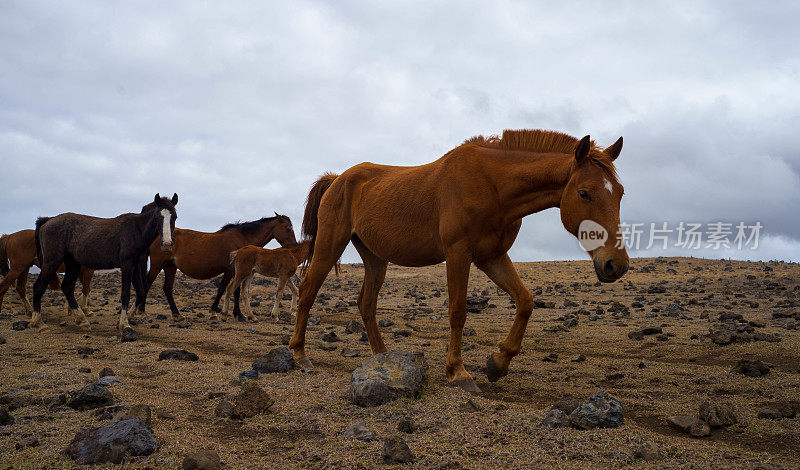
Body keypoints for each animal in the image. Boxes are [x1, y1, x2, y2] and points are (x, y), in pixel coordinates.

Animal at [31, 193, 178, 332]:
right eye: (157, 217)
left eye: (175, 217)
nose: (167, 244)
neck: (136, 231)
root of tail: (48, 220)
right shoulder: (126, 266)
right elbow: (125, 294)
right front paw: (124, 324)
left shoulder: (135, 266)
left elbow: (141, 293)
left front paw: (126, 320)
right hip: (51, 262)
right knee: (38, 287)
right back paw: (39, 324)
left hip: (73, 264)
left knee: (67, 287)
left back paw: (82, 321)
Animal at [145, 213, 296, 320]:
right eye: (288, 229)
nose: (294, 247)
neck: (243, 239)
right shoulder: (232, 271)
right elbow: (228, 289)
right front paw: (232, 313)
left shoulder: (235, 272)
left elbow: (229, 290)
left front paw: (227, 312)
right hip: (157, 266)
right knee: (148, 283)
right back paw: (140, 311)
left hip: (170, 267)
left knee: (167, 289)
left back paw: (177, 314)